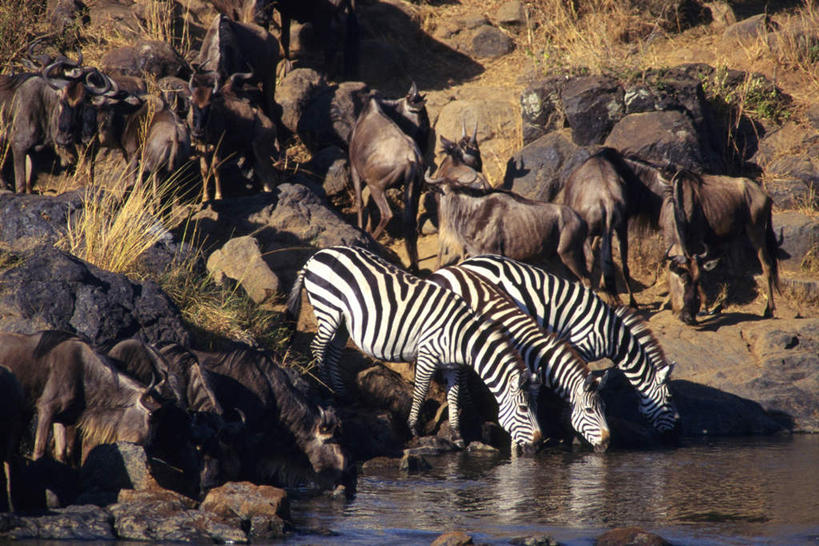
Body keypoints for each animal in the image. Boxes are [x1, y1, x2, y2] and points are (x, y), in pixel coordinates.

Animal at [288, 245, 544, 450]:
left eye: (534, 406)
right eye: (523, 408)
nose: (539, 443)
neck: (461, 336)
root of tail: (319, 254)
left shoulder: (452, 365)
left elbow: (454, 397)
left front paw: (457, 435)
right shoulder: (428, 354)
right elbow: (421, 391)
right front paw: (414, 428)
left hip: (342, 320)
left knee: (333, 353)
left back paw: (342, 394)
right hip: (328, 308)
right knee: (318, 348)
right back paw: (327, 391)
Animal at [430, 266, 608, 448]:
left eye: (604, 408)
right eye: (589, 410)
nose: (607, 443)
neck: (534, 354)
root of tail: (446, 270)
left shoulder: (532, 381)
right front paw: (516, 446)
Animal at [458, 252, 684, 434]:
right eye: (669, 398)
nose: (675, 432)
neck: (612, 336)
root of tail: (468, 261)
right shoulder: (579, 346)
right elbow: (575, 379)